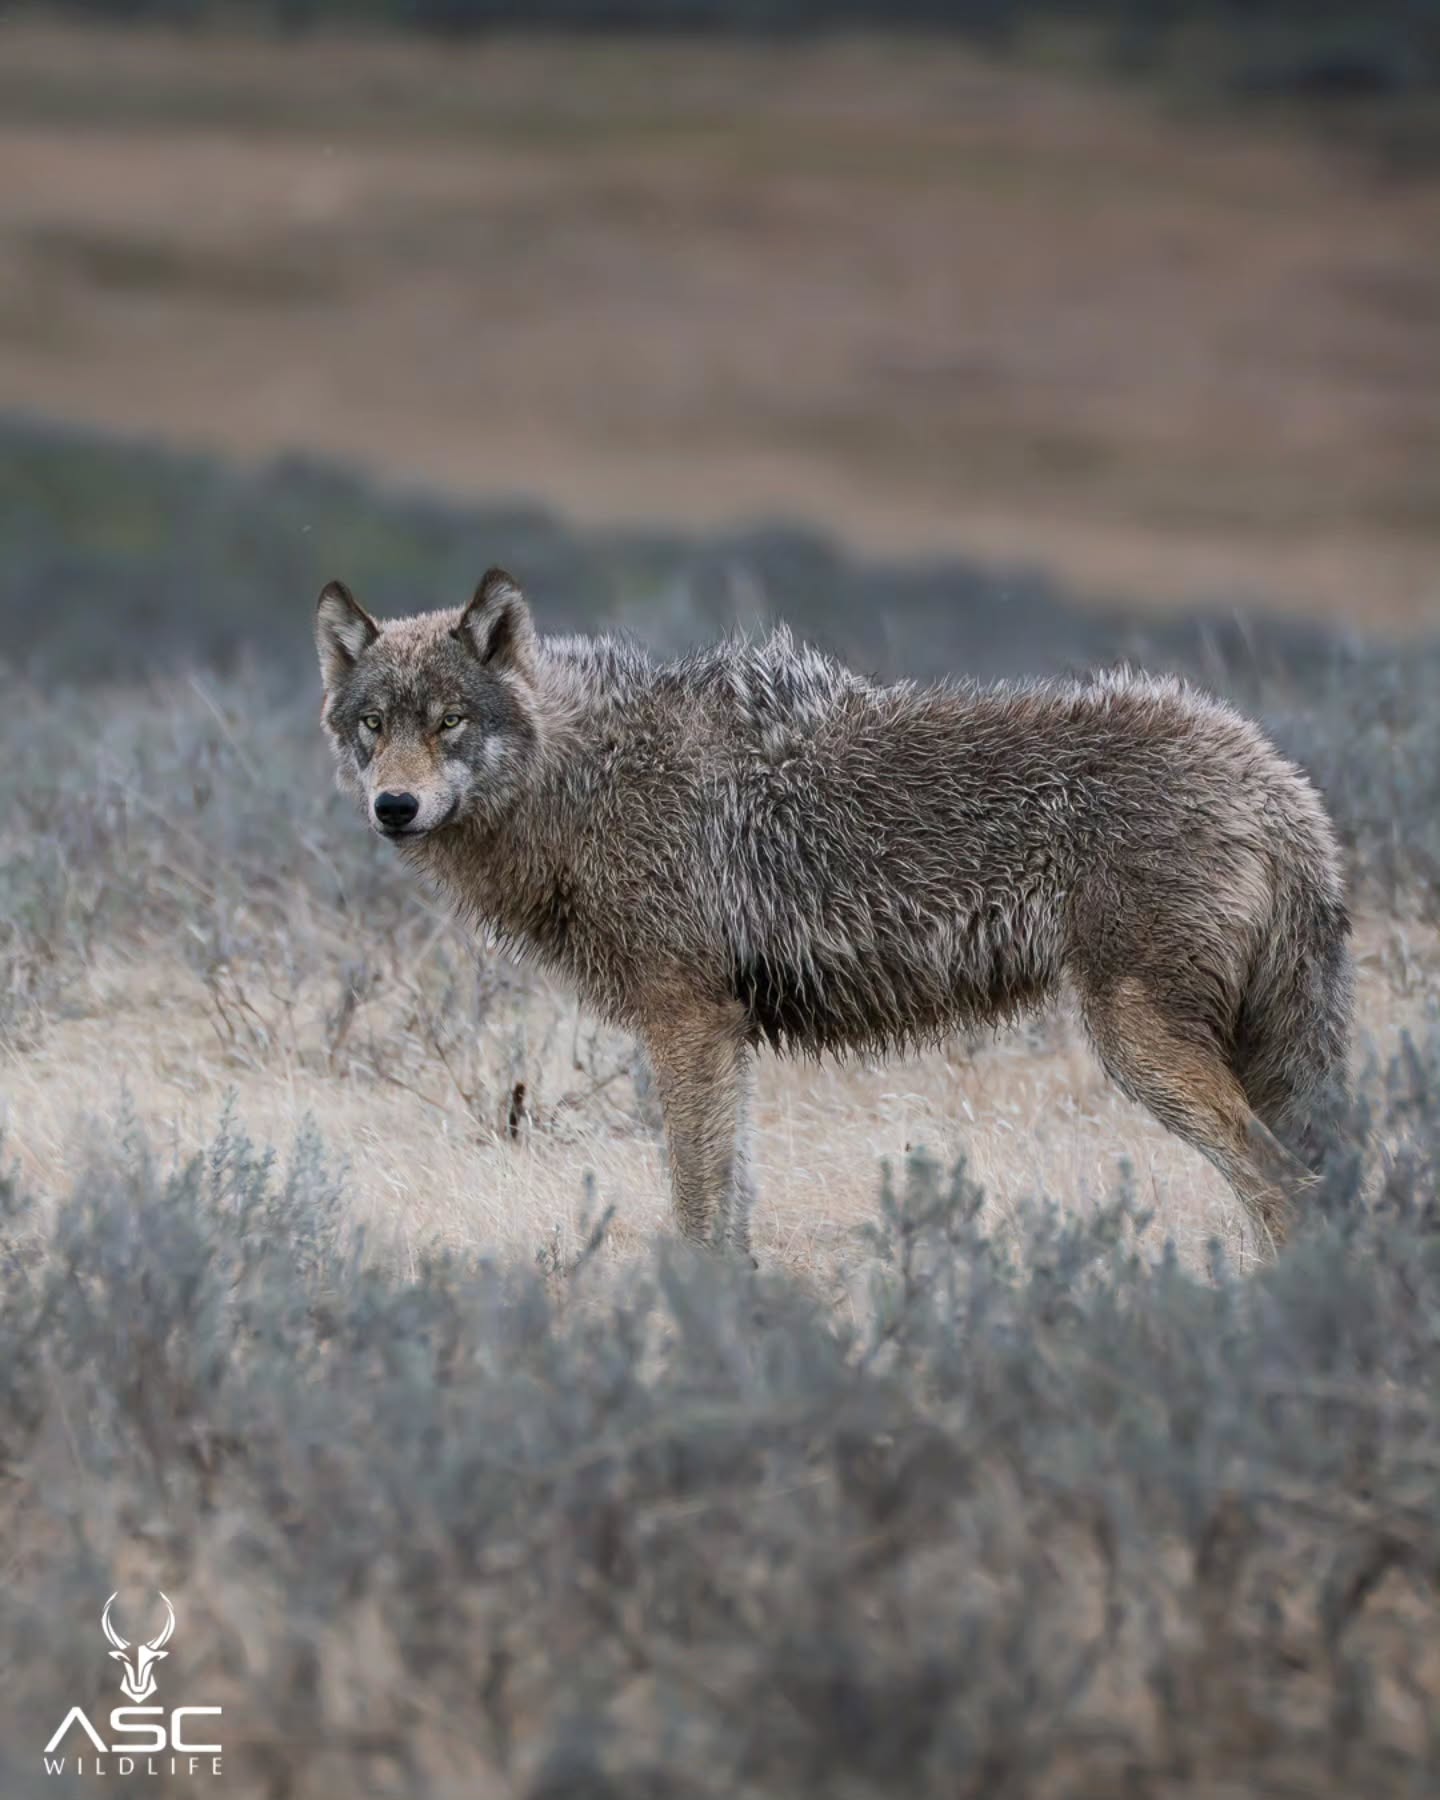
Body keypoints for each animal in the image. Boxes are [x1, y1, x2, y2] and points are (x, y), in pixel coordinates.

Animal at [316, 569, 1351, 1254]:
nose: (394, 807)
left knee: (1287, 1185)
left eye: (450, 721)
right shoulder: (722, 1032)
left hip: (1140, 1047)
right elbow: (729, 1198)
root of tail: (1277, 779)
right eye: (374, 724)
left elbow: (696, 1202)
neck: (585, 778)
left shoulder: (686, 1020)